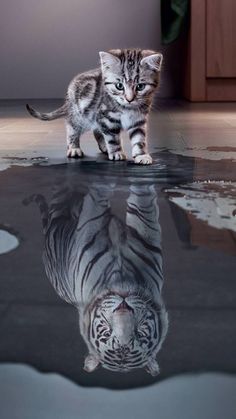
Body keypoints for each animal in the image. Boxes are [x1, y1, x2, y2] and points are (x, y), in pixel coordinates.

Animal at [25, 49, 162, 166]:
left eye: (140, 86)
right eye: (119, 86)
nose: (129, 99)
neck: (127, 108)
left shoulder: (138, 120)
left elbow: (139, 138)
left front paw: (142, 155)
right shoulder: (107, 117)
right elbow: (112, 137)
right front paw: (116, 152)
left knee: (97, 130)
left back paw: (104, 147)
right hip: (81, 116)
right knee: (72, 127)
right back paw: (74, 148)